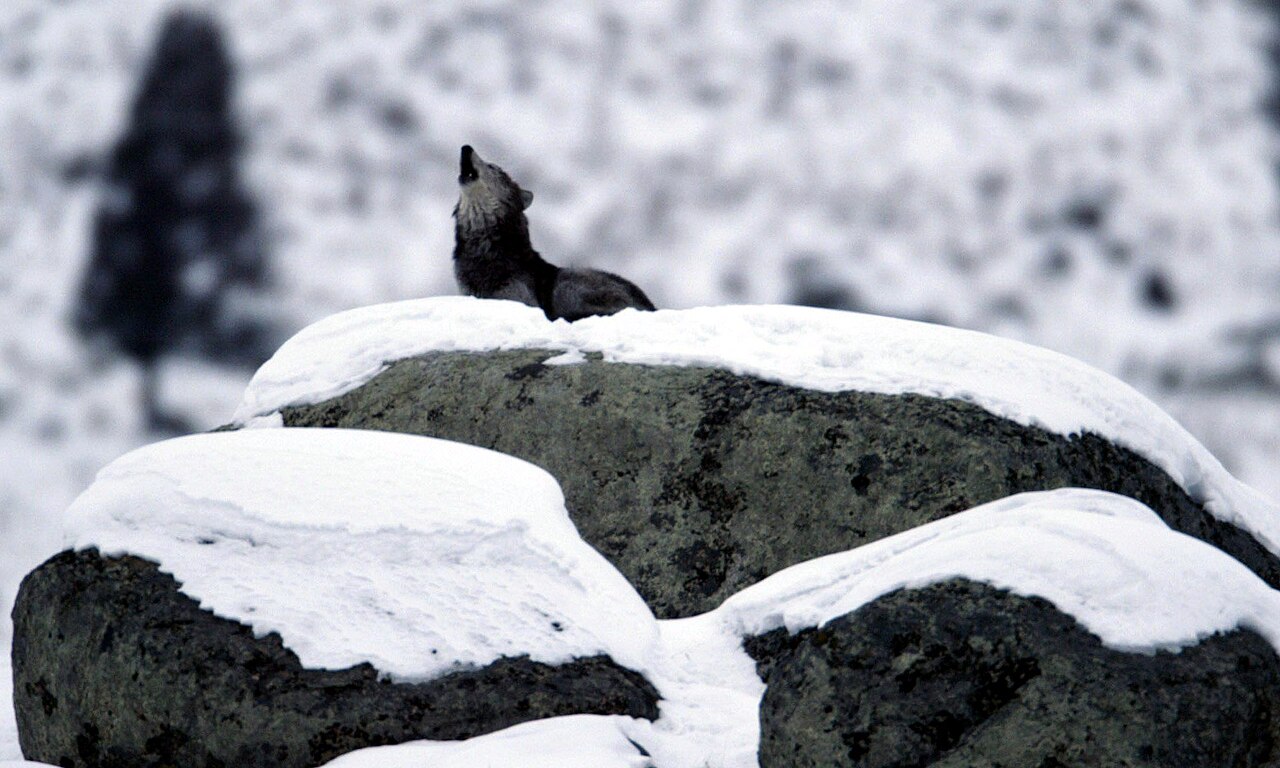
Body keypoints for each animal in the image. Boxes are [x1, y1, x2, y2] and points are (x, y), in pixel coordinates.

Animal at [452, 145, 655, 321]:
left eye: (493, 167)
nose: (465, 147)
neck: (485, 247)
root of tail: (650, 307)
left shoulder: (519, 300)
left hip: (566, 283)